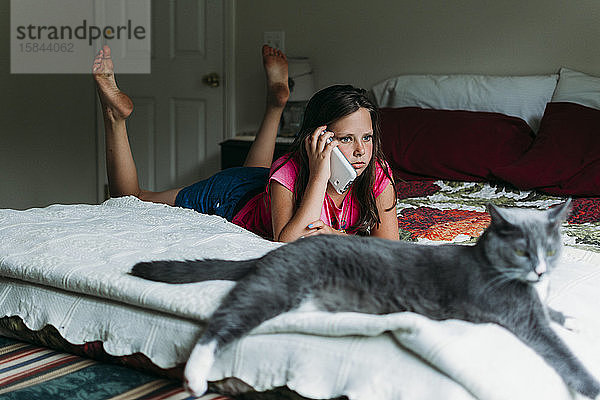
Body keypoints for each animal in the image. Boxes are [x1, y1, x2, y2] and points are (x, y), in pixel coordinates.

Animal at [131, 202, 600, 398]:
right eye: (522, 250)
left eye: (552, 249)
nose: (540, 269)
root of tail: (275, 252)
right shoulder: (520, 317)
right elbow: (560, 351)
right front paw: (591, 385)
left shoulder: (537, 303)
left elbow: (552, 313)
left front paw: (573, 318)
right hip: (274, 290)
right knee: (220, 324)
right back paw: (194, 379)